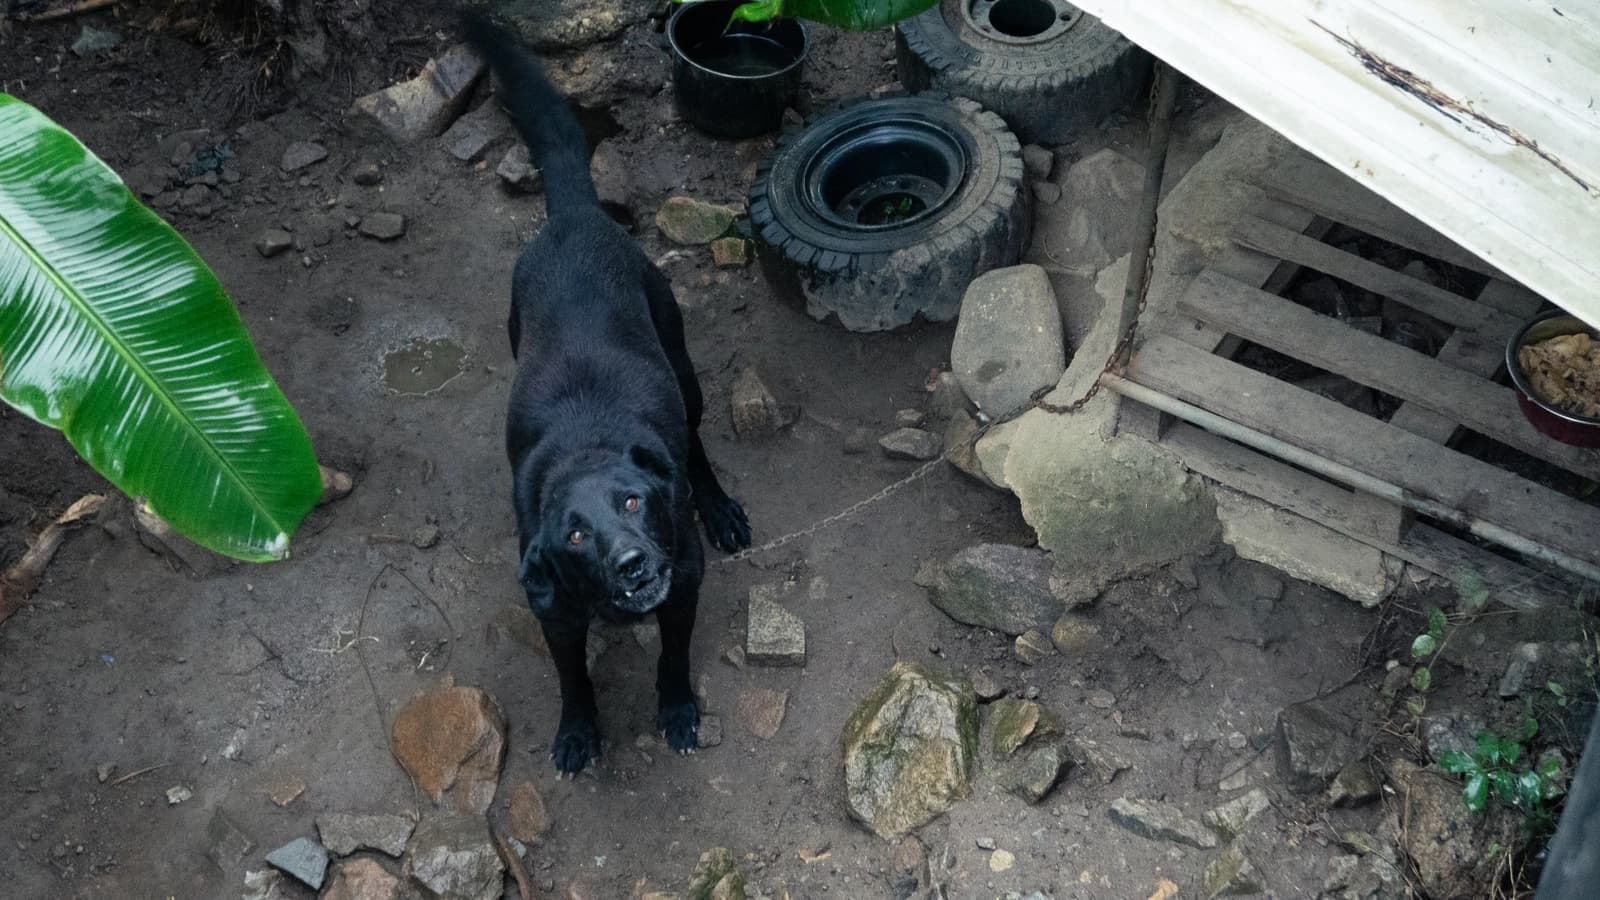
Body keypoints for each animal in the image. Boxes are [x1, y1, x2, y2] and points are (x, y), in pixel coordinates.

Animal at [467, 12, 752, 771]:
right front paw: (576, 732)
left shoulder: (683, 584)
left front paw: (677, 711)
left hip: (682, 366)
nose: (630, 562)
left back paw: (718, 505)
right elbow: (574, 680)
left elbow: (674, 660)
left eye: (631, 502)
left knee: (696, 443)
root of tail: (572, 215)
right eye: (573, 534)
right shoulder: (555, 613)